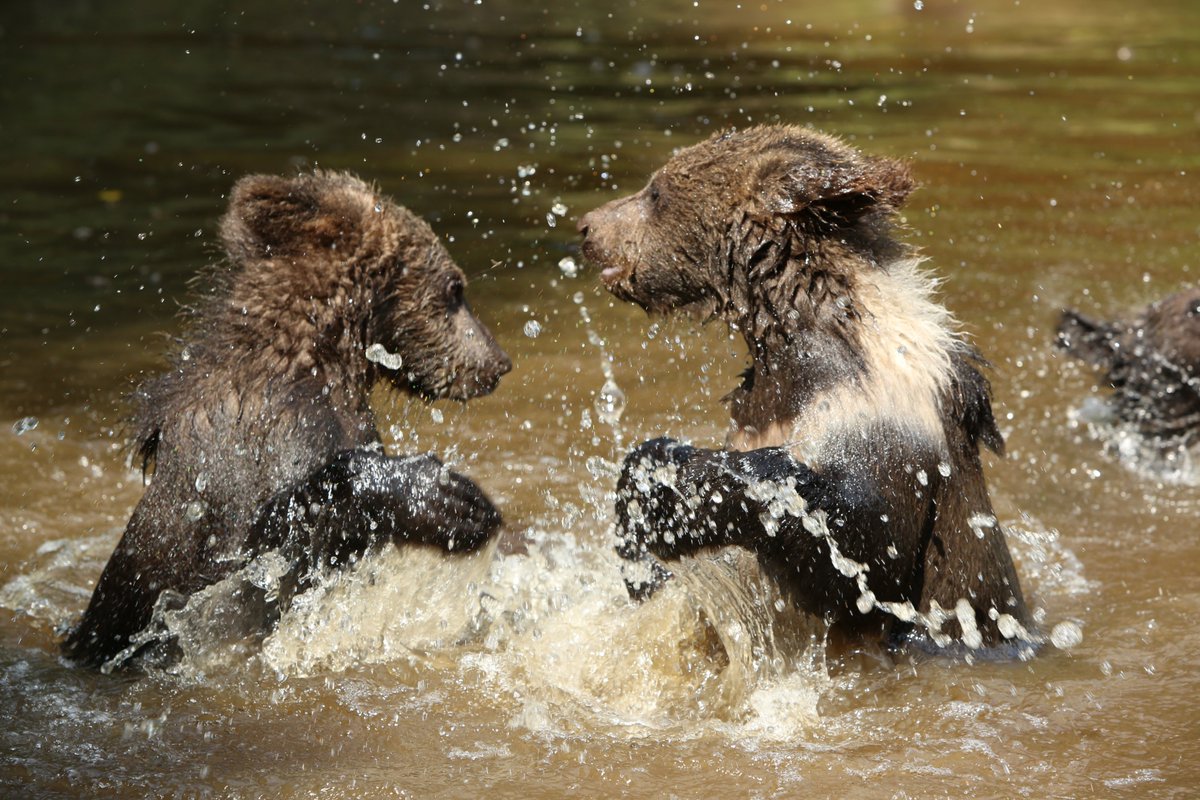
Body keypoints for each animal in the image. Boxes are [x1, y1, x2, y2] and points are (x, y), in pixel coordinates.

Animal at [63, 170, 512, 669]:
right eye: (455, 288)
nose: (497, 363)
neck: (317, 357)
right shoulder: (254, 447)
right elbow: (261, 550)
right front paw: (450, 497)